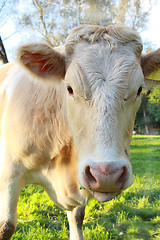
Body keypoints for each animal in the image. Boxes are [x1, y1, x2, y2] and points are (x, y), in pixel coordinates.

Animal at [0, 24, 160, 240]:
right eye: (69, 88)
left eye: (139, 90)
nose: (107, 175)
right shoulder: (9, 173)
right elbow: (6, 226)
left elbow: (77, 219)